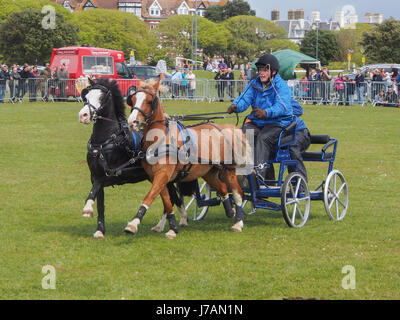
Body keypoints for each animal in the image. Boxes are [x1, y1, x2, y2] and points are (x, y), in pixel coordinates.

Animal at [78, 78, 188, 238]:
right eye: (86, 96)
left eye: (101, 97)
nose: (83, 115)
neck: (106, 142)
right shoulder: (95, 175)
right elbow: (100, 203)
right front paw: (100, 230)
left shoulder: (115, 174)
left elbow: (98, 185)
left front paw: (87, 208)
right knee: (171, 196)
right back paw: (167, 224)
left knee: (171, 197)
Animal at [125, 78, 252, 238]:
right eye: (133, 99)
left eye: (149, 101)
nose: (132, 123)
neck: (160, 139)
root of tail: (224, 129)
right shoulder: (157, 177)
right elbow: (167, 202)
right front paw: (172, 228)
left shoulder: (162, 175)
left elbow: (150, 197)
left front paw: (133, 223)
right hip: (209, 172)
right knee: (223, 188)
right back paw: (230, 211)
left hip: (228, 170)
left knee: (238, 193)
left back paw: (238, 223)